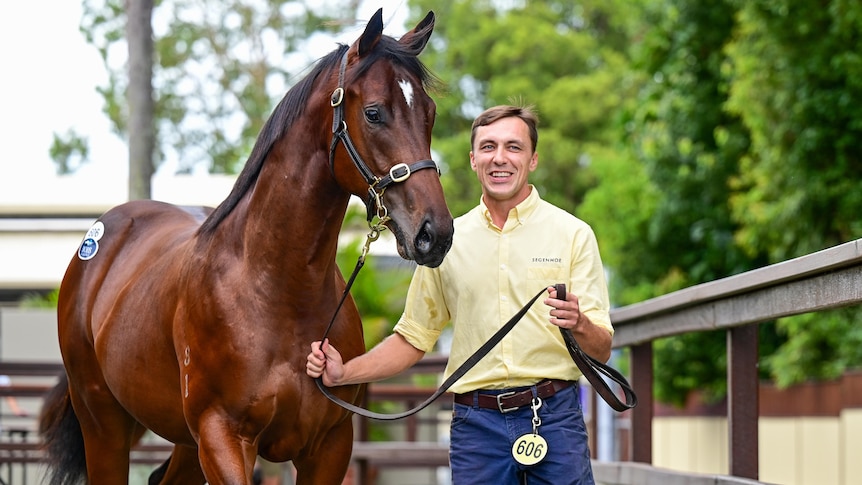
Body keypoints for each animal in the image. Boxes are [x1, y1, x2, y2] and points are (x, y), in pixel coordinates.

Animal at [38, 8, 456, 484]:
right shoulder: (223, 436)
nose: (435, 233)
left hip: (184, 441)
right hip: (104, 424)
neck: (277, 292)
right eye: (373, 113)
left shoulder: (329, 446)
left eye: (429, 113)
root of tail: (98, 240)